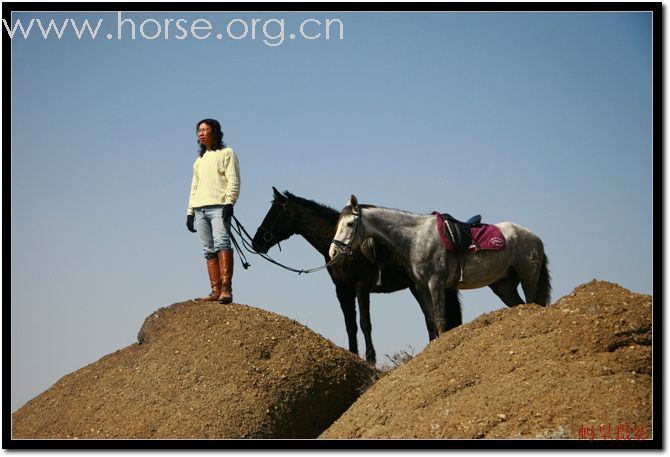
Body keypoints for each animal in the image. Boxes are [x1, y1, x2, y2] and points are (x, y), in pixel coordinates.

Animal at [252, 186, 462, 364]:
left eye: (274, 214)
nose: (256, 243)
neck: (345, 249)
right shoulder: (342, 289)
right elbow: (350, 325)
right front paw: (353, 353)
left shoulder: (361, 286)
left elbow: (364, 322)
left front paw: (370, 358)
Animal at [328, 194, 552, 334]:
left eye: (349, 224)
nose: (333, 252)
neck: (415, 238)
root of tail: (535, 237)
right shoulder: (421, 287)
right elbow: (430, 323)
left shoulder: (436, 284)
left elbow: (441, 322)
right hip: (504, 286)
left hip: (528, 276)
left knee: (532, 302)